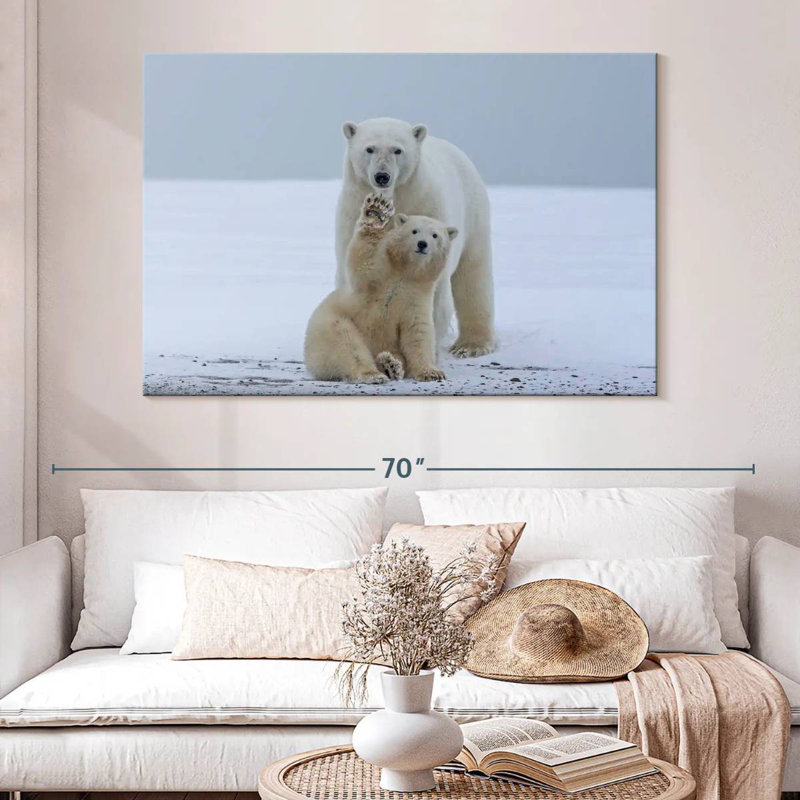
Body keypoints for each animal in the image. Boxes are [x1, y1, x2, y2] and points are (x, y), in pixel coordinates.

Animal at [305, 194, 458, 384]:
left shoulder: (417, 296)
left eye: (435, 235)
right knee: (346, 343)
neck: (405, 273)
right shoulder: (379, 277)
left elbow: (418, 332)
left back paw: (391, 365)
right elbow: (364, 263)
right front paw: (376, 211)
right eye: (414, 231)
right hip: (330, 323)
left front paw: (431, 372)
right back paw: (373, 373)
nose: (422, 244)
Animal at [335, 117, 495, 358]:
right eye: (369, 148)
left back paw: (472, 345)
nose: (382, 176)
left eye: (397, 149)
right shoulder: (351, 211)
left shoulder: (426, 204)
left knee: (473, 275)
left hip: (474, 214)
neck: (394, 197)